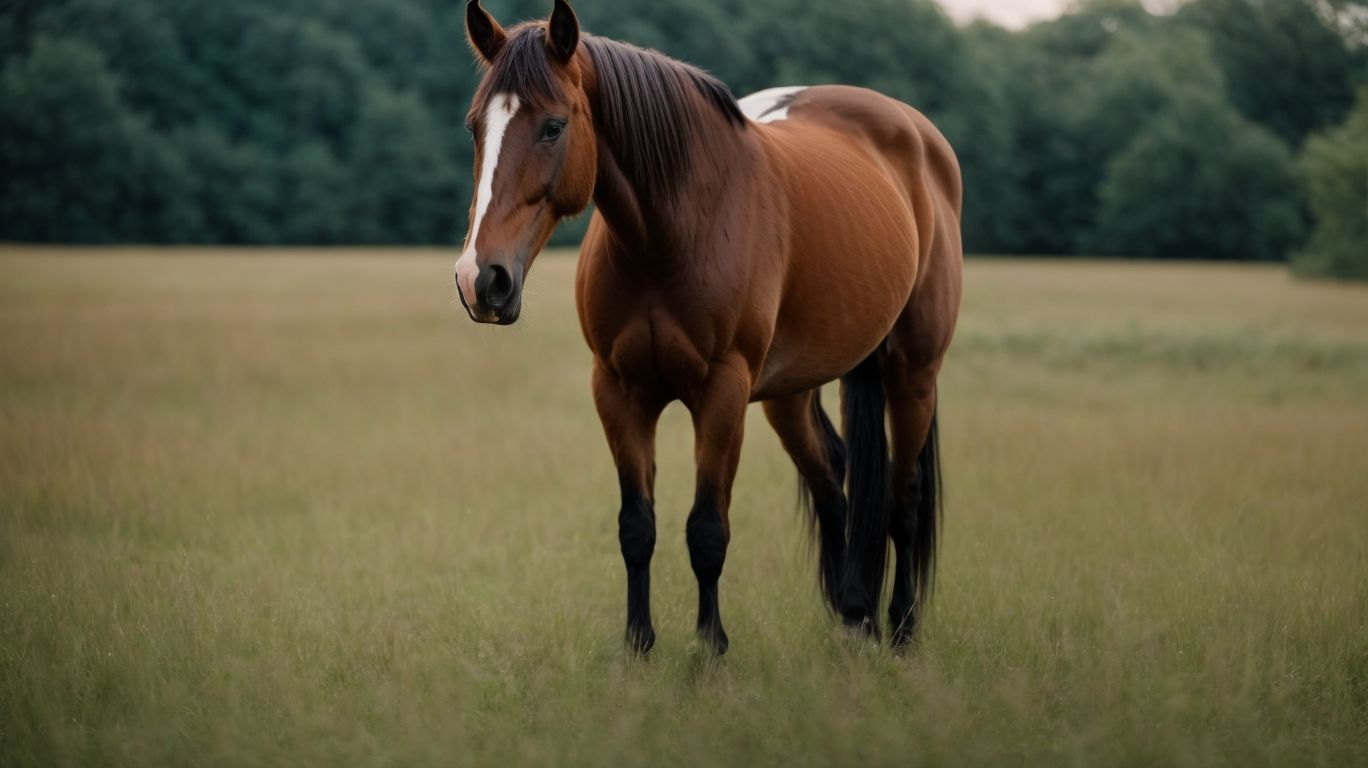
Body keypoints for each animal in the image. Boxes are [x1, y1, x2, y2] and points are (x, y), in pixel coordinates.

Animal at [454, 0, 962, 654]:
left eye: (553, 127)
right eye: (475, 128)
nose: (480, 278)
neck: (670, 233)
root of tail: (919, 137)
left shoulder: (722, 392)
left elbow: (707, 530)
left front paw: (710, 650)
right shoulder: (618, 391)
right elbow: (636, 527)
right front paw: (638, 647)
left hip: (913, 371)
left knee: (904, 498)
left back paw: (899, 628)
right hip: (793, 390)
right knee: (832, 479)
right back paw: (855, 616)